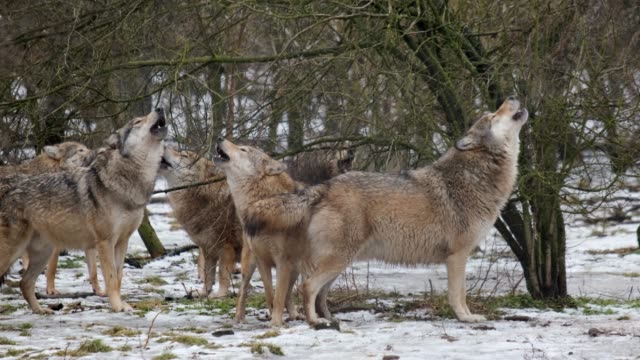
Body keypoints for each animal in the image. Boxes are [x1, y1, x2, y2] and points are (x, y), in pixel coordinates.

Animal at [0, 108, 168, 314]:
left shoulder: (122, 242)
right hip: (13, 252)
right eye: (137, 122)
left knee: (25, 283)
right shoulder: (105, 242)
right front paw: (117, 307)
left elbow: (118, 276)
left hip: (43, 253)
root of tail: (6, 189)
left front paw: (123, 305)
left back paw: (41, 310)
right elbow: (111, 278)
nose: (160, 109)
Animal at [218, 97, 528, 324]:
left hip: (339, 263)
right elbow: (458, 295)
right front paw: (467, 318)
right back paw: (315, 322)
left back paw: (328, 319)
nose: (512, 97)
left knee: (317, 293)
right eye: (493, 115)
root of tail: (324, 187)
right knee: (307, 287)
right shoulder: (458, 256)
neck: (476, 175)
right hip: (334, 260)